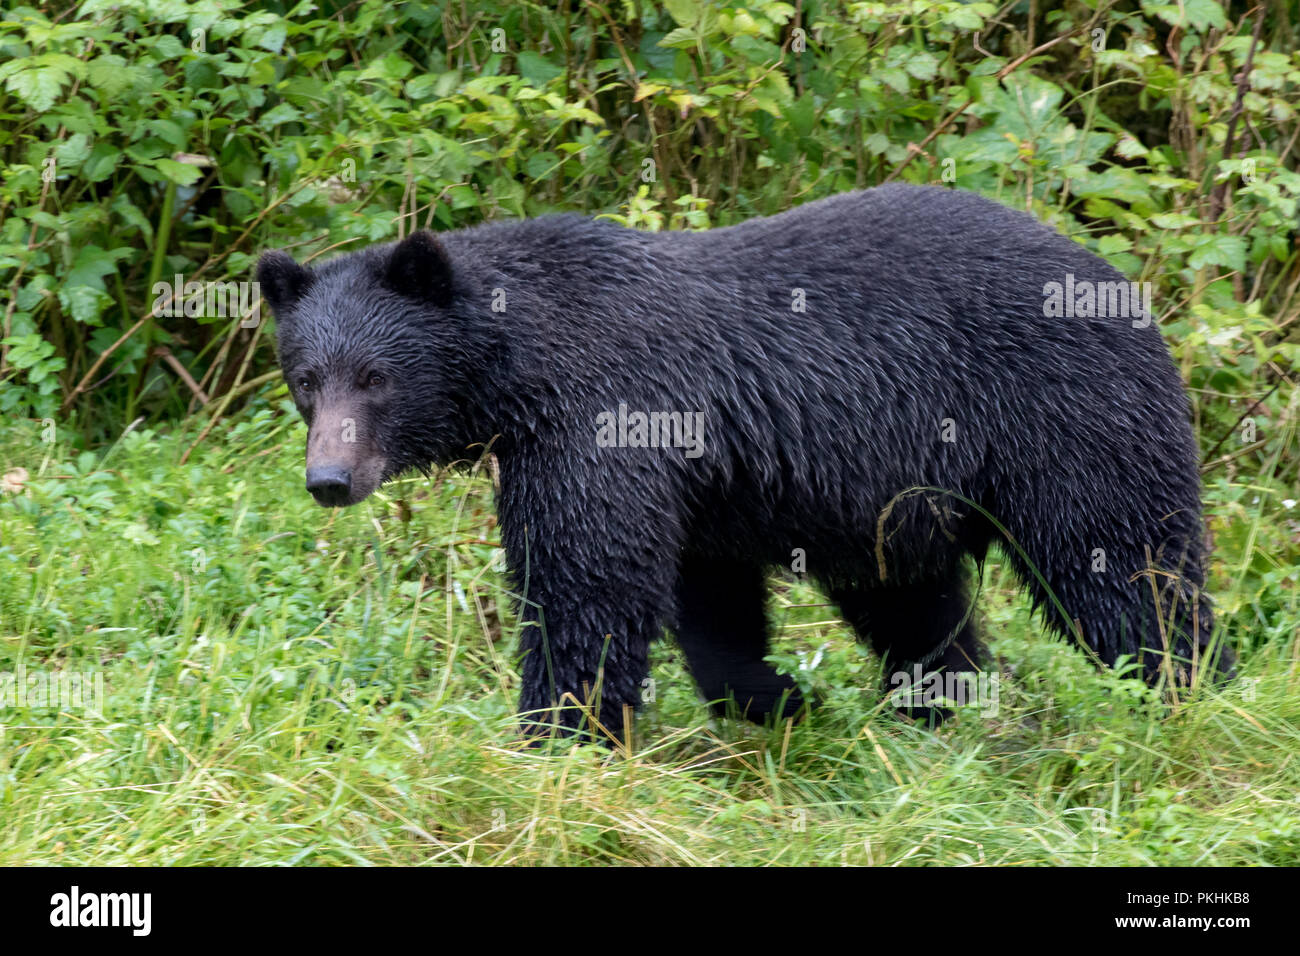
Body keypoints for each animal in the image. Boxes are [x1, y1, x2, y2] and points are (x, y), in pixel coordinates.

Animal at [256, 184, 1227, 738]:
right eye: (306, 379)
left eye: (375, 378)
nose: (329, 481)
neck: (521, 369)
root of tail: (1124, 285)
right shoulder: (699, 480)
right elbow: (705, 598)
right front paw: (777, 700)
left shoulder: (608, 420)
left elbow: (585, 583)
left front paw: (559, 730)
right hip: (901, 495)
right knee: (916, 604)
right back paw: (933, 710)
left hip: (1066, 423)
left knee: (1124, 568)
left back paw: (1183, 696)